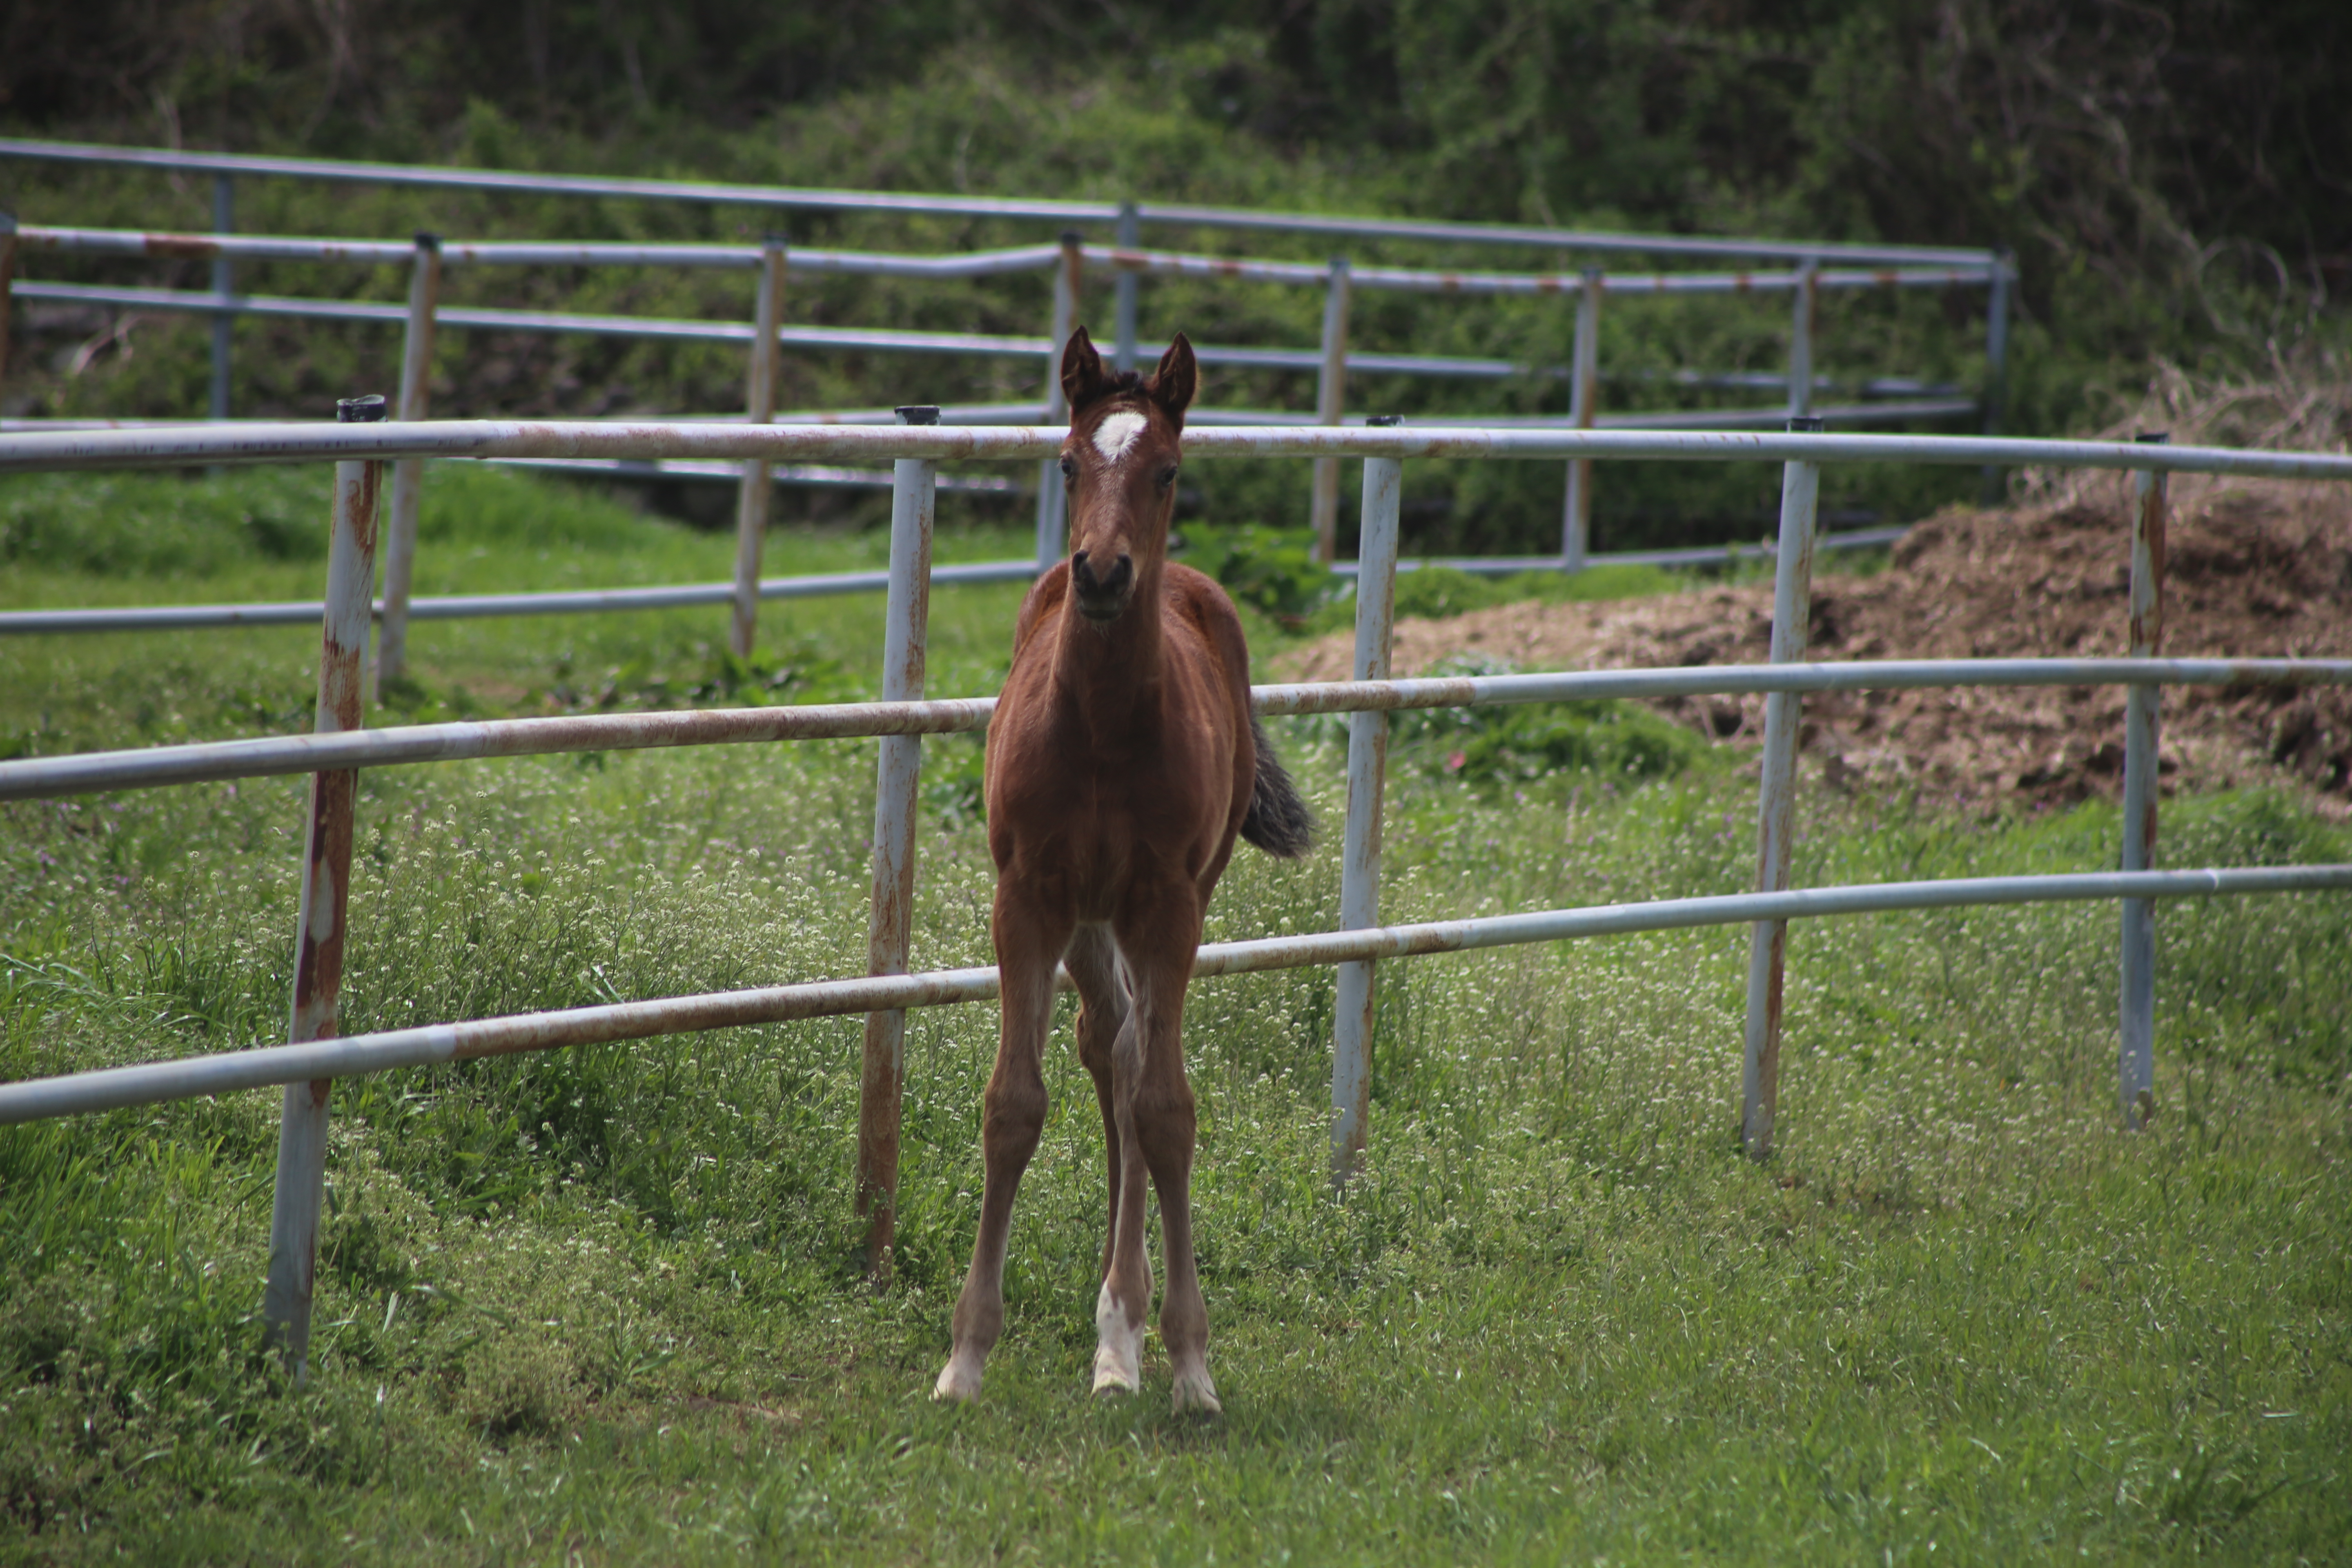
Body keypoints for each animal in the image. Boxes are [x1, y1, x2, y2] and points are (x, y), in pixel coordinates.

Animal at [927, 329, 1317, 1410]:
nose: (1101, 572)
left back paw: (1123, 1329)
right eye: (1066, 462)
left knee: (1137, 1063)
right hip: (1087, 919)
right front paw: (964, 1357)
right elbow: (1013, 1105)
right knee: (1108, 1045)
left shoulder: (1169, 904)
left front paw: (1187, 1359)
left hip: (1162, 903)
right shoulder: (1025, 898)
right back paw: (1111, 1326)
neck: (1100, 728)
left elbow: (1167, 1111)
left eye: (1168, 471)